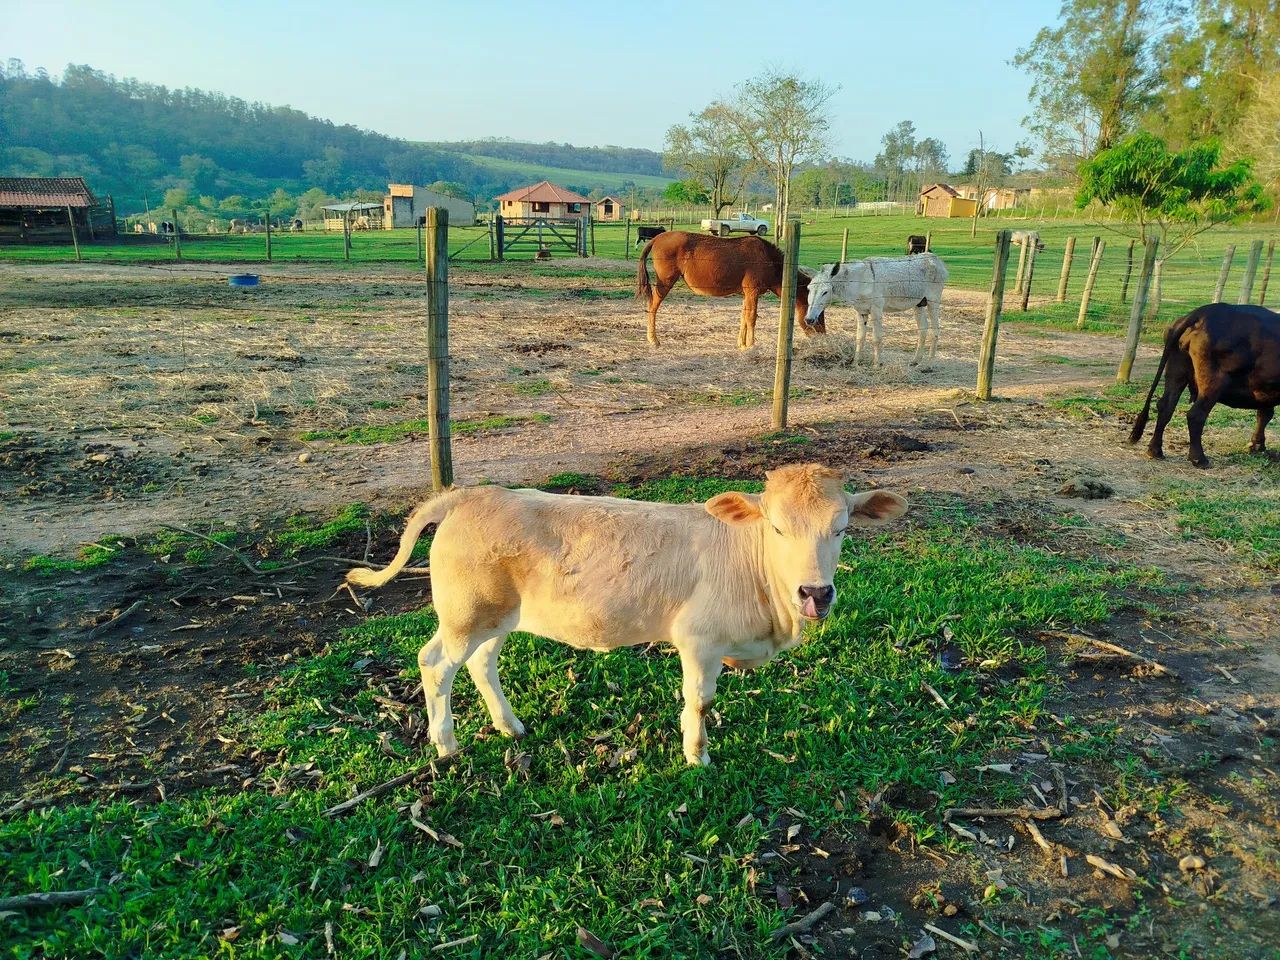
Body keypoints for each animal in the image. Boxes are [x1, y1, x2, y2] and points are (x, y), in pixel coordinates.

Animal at [346, 465, 909, 766]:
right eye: (775, 527)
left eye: (841, 528)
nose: (815, 592)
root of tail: (470, 495)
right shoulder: (698, 641)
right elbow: (699, 701)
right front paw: (697, 755)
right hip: (464, 615)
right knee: (436, 664)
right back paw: (446, 744)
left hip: (495, 616)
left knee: (483, 664)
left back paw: (511, 727)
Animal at [637, 230, 824, 349]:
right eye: (819, 313)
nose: (822, 334)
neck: (769, 259)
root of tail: (656, 238)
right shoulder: (752, 291)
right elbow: (751, 317)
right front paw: (751, 345)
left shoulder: (746, 294)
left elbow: (744, 316)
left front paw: (742, 343)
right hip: (665, 282)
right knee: (653, 306)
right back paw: (653, 340)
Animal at [804, 253, 948, 365]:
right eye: (809, 289)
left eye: (825, 292)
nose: (809, 319)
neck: (859, 281)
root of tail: (935, 258)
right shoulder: (861, 311)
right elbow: (860, 337)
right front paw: (856, 363)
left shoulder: (876, 310)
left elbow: (876, 338)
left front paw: (877, 364)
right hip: (919, 304)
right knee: (923, 329)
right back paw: (916, 360)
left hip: (933, 301)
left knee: (935, 329)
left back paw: (929, 364)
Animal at [1129, 303, 1280, 467]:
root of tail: (1202, 312)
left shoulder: (1266, 391)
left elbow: (1264, 414)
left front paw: (1257, 445)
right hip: (1213, 383)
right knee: (1196, 415)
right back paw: (1199, 459)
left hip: (1176, 369)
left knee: (1166, 406)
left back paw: (1155, 450)